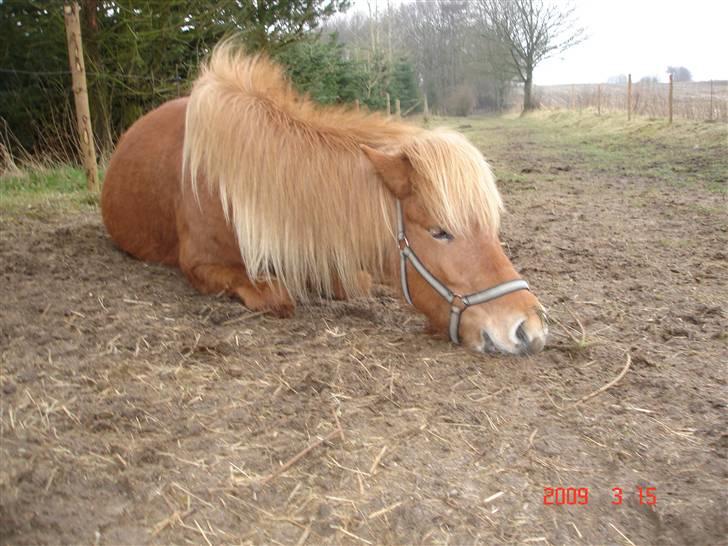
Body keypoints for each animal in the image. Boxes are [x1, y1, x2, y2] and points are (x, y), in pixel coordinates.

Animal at [101, 43, 547, 355]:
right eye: (440, 232)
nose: (529, 327)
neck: (241, 185)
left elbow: (352, 280)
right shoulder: (199, 266)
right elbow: (277, 295)